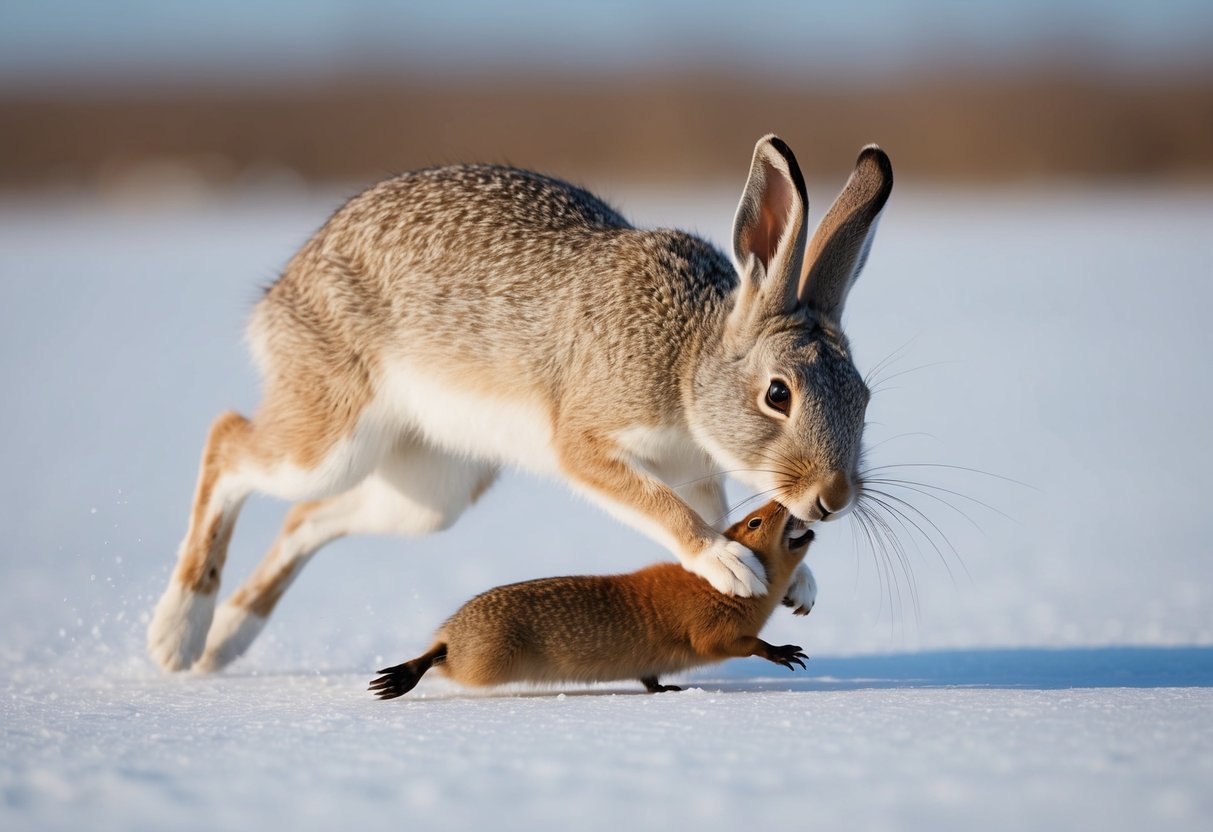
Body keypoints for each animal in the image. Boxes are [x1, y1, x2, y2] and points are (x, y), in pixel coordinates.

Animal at [147, 134, 893, 673]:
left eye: (863, 398)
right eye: (777, 394)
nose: (833, 498)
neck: (688, 361)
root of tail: (283, 287)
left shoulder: (696, 469)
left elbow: (718, 510)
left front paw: (795, 583)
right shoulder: (587, 440)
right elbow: (667, 512)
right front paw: (730, 566)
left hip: (431, 493)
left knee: (306, 517)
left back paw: (226, 640)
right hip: (333, 434)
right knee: (229, 443)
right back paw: (178, 634)